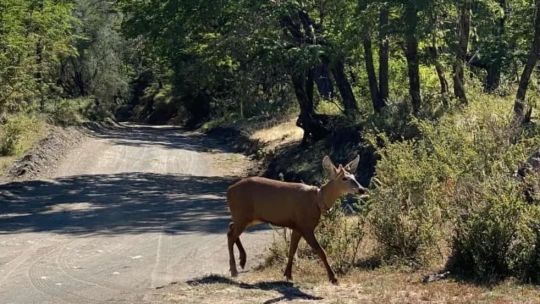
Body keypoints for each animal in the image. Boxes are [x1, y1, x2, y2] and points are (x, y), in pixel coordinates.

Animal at [224, 157, 368, 284]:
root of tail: (229, 190)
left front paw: (288, 274)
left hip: (248, 217)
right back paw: (234, 270)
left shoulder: (297, 227)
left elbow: (292, 250)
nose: (362, 189)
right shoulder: (305, 226)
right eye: (344, 178)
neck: (317, 200)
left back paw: (242, 261)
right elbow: (321, 251)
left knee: (231, 227)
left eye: (354, 177)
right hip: (242, 213)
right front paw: (333, 278)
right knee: (231, 234)